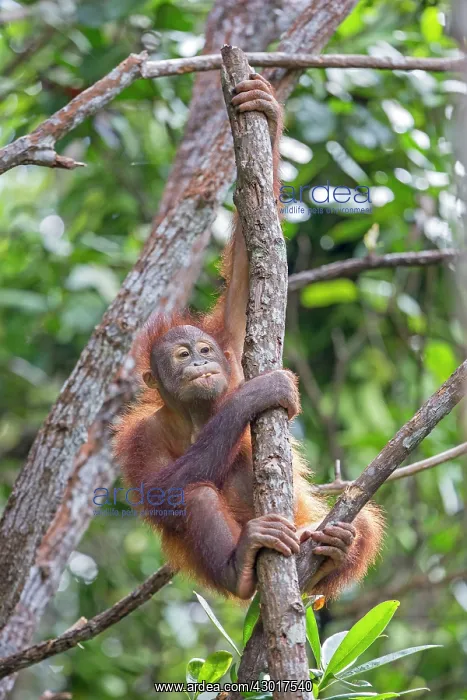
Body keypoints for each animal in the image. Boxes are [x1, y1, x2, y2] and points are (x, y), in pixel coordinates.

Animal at [114, 73, 384, 600]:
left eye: (203, 350)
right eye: (181, 355)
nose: (201, 364)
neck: (197, 414)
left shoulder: (233, 346)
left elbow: (244, 276)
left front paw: (267, 110)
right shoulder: (138, 439)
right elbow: (163, 490)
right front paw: (259, 394)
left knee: (357, 525)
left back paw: (335, 548)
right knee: (196, 492)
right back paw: (240, 568)